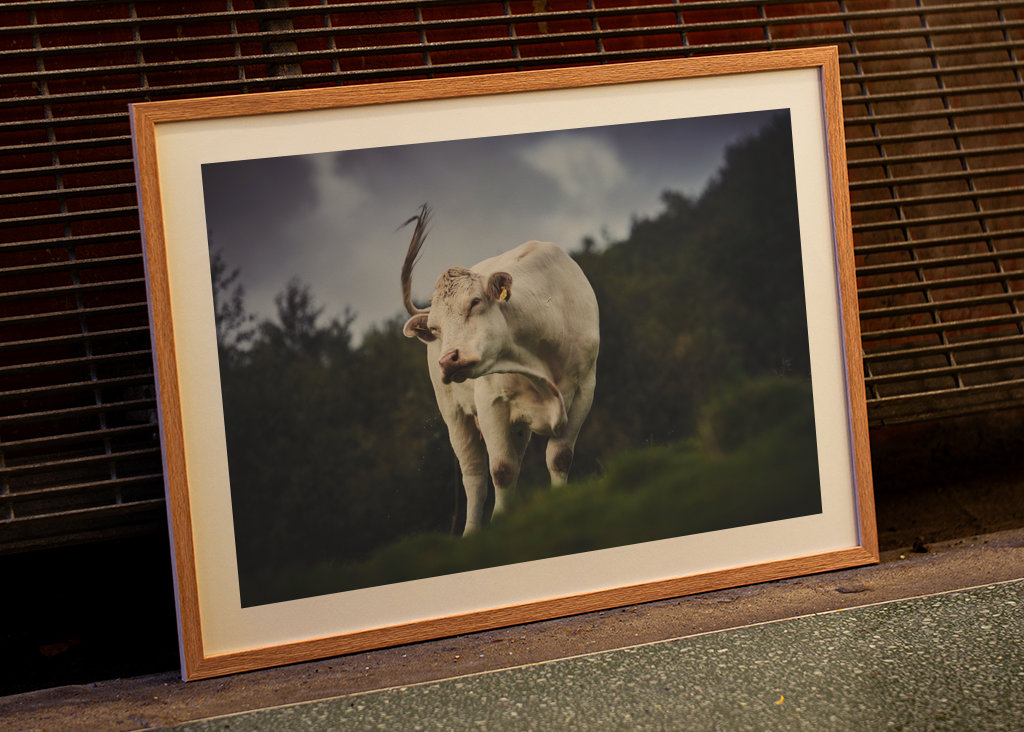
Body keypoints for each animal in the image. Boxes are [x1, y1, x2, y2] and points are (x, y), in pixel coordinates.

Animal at [400, 204, 600, 534]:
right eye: (435, 328)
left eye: (474, 302)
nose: (448, 360)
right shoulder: (490, 402)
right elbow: (501, 470)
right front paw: (500, 523)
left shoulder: (585, 387)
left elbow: (559, 457)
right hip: (454, 414)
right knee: (475, 475)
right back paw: (471, 533)